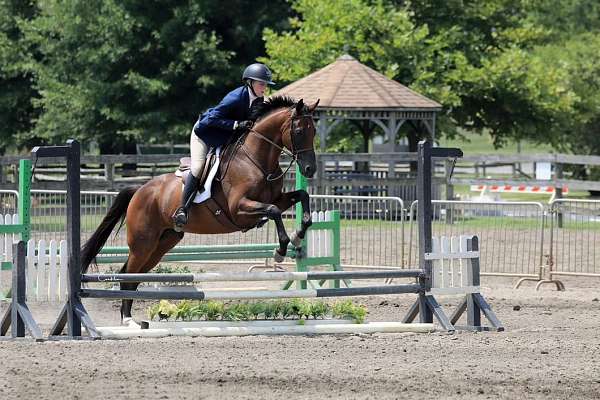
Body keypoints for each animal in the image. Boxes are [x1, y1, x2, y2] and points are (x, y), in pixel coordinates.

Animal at [83, 97, 324, 324]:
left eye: (314, 131)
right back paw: (126, 319)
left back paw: (129, 317)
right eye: (299, 131)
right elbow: (273, 211)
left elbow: (301, 197)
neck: (255, 160)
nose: (310, 169)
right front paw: (280, 250)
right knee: (127, 274)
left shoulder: (276, 199)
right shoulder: (239, 209)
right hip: (143, 243)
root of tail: (140, 190)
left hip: (162, 243)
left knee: (135, 275)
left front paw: (298, 235)